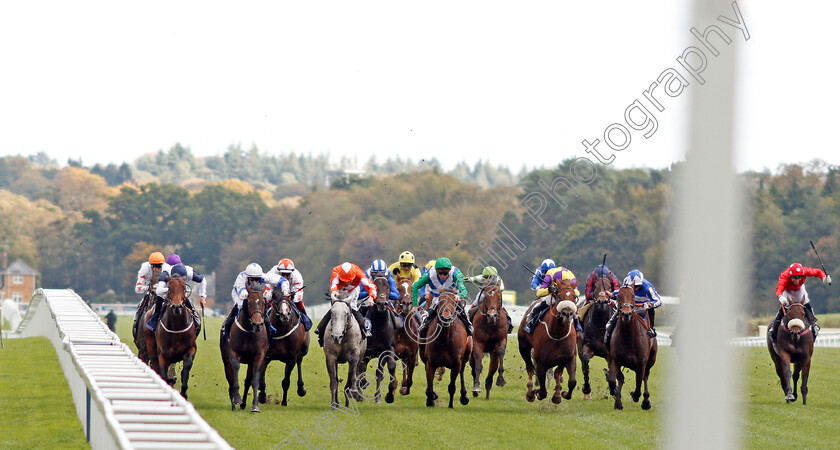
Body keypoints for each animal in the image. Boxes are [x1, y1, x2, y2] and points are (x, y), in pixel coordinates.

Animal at [221, 284, 268, 412]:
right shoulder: (233, 353)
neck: (249, 332)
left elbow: (254, 379)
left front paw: (255, 405)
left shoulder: (258, 356)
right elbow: (235, 372)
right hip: (225, 359)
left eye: (263, 302)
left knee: (248, 381)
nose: (257, 324)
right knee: (230, 378)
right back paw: (234, 404)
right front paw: (237, 398)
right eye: (249, 302)